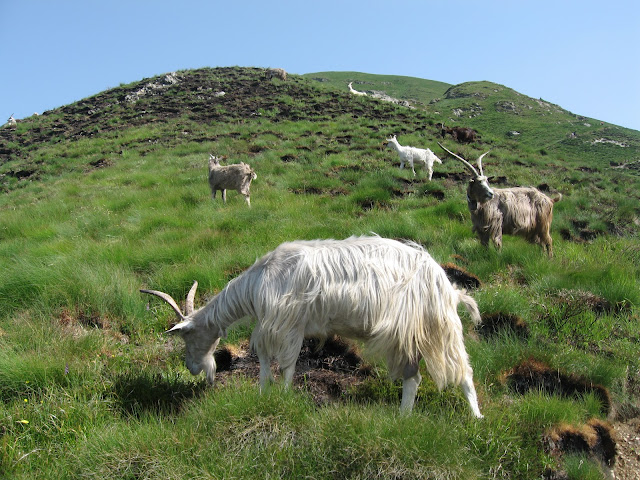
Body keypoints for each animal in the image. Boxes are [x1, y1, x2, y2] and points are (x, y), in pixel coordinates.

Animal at [144, 233, 484, 416]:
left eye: (187, 336)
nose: (192, 369)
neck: (259, 280)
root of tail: (445, 283)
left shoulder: (287, 325)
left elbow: (284, 365)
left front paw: (280, 397)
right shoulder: (277, 326)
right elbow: (267, 363)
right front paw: (263, 394)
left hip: (436, 327)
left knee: (463, 371)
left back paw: (476, 418)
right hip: (411, 334)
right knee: (414, 378)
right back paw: (403, 418)